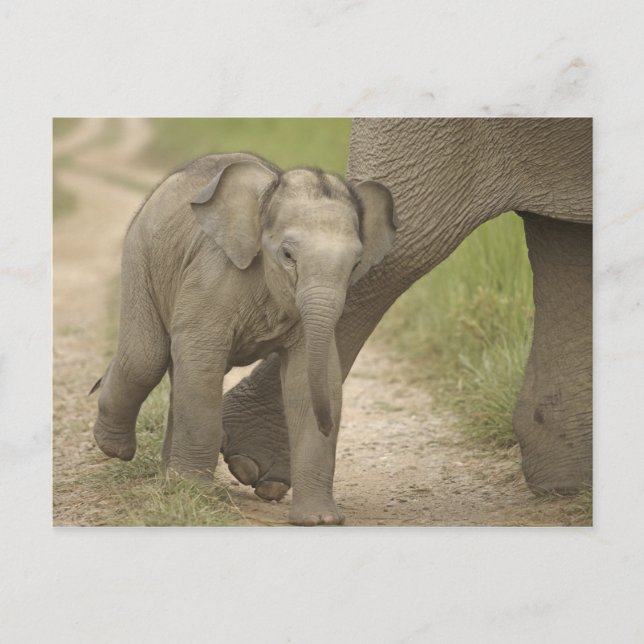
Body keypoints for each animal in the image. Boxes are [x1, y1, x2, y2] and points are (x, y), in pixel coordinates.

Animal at [92, 152, 396, 526]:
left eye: (355, 265)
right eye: (288, 256)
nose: (328, 426)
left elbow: (310, 381)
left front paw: (319, 520)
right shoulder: (213, 277)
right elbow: (201, 359)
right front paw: (195, 494)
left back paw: (169, 479)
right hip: (141, 253)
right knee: (145, 358)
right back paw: (115, 448)